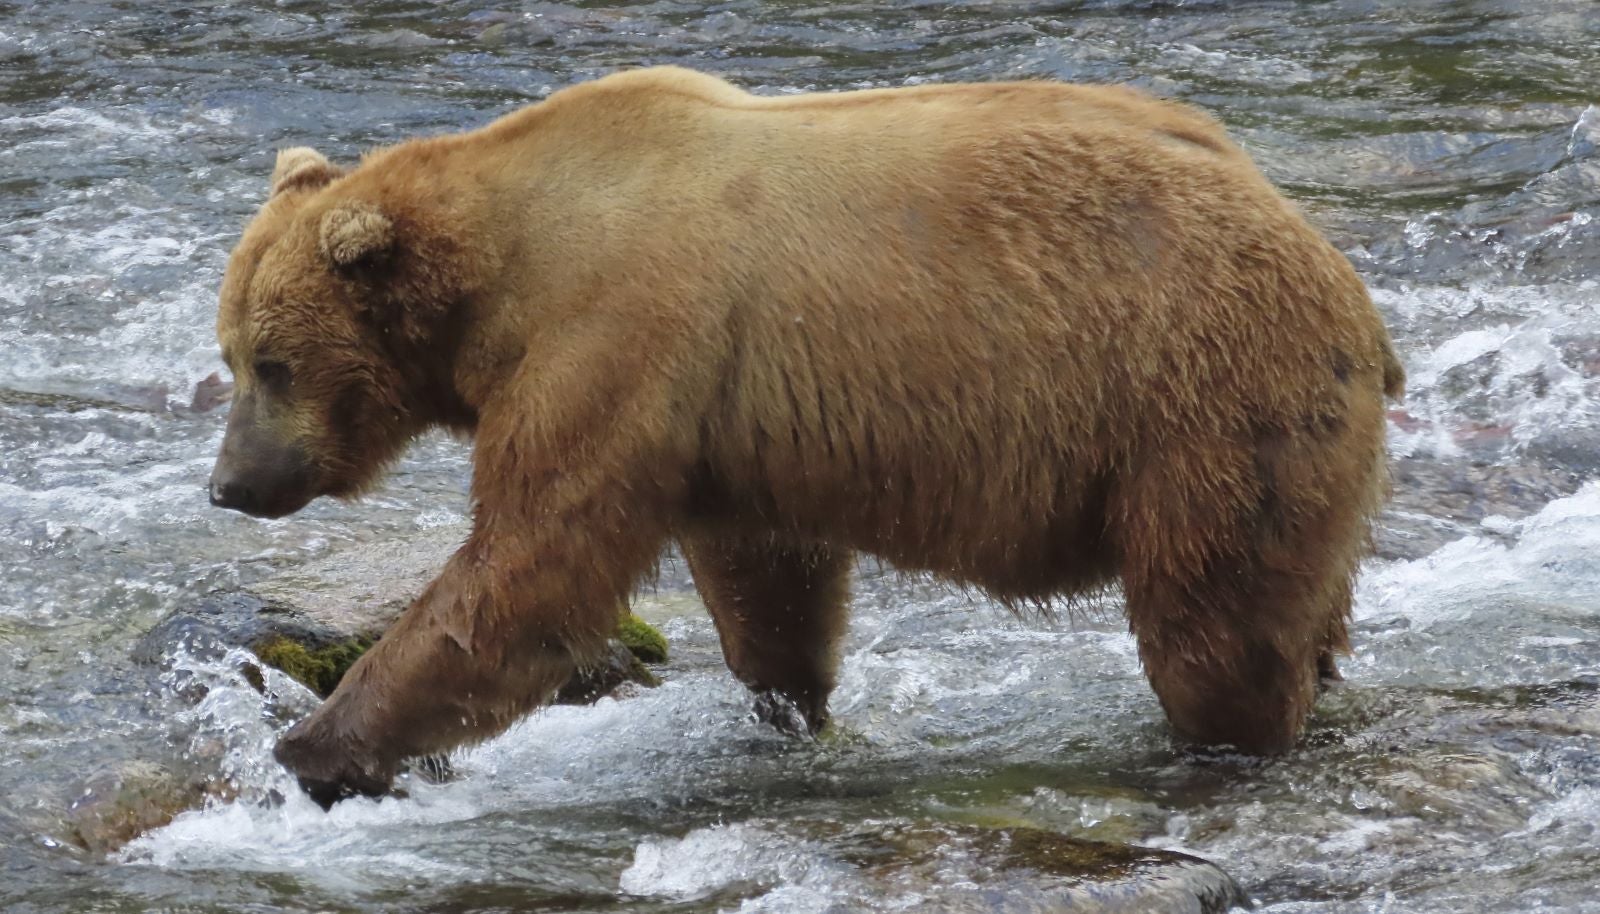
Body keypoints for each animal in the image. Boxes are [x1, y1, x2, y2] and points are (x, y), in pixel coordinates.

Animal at [207, 66, 1404, 806]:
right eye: (230, 353)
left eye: (272, 362)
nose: (228, 484)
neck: (500, 276)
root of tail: (1338, 272)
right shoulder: (720, 423)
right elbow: (767, 583)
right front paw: (788, 707)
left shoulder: (614, 339)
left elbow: (528, 566)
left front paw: (314, 746)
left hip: (1204, 397)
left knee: (1213, 624)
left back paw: (1224, 747)